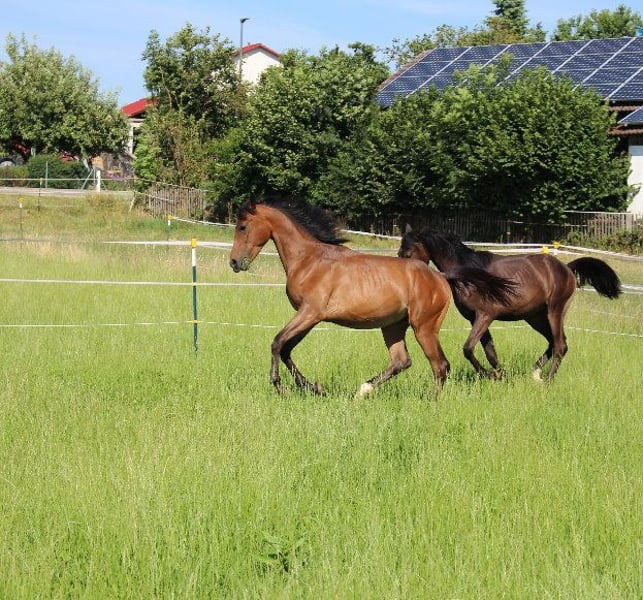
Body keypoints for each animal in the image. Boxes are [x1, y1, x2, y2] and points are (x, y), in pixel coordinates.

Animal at [229, 196, 516, 398]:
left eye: (242, 226)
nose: (234, 263)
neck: (310, 260)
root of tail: (440, 276)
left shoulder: (310, 313)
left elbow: (277, 343)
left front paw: (280, 386)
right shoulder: (310, 317)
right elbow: (287, 348)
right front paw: (314, 388)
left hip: (423, 327)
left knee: (440, 365)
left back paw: (431, 402)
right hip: (393, 326)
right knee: (402, 361)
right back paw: (362, 391)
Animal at [398, 225, 622, 381]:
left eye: (407, 253)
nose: (406, 275)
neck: (468, 273)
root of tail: (567, 268)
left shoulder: (485, 315)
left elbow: (468, 348)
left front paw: (489, 375)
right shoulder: (475, 319)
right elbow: (490, 352)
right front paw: (500, 374)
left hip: (555, 311)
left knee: (560, 345)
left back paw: (548, 380)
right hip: (535, 317)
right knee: (553, 342)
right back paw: (535, 373)